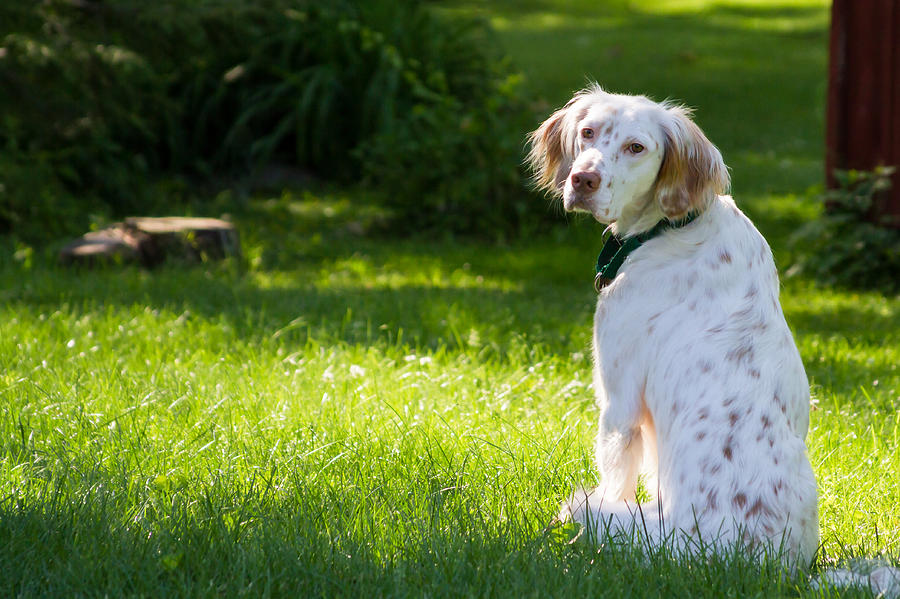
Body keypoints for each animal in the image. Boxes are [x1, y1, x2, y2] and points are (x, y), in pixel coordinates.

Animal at [528, 84, 824, 568]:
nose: (583, 180)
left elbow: (615, 474)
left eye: (636, 148)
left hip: (610, 515)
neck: (670, 225)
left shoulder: (619, 405)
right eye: (588, 132)